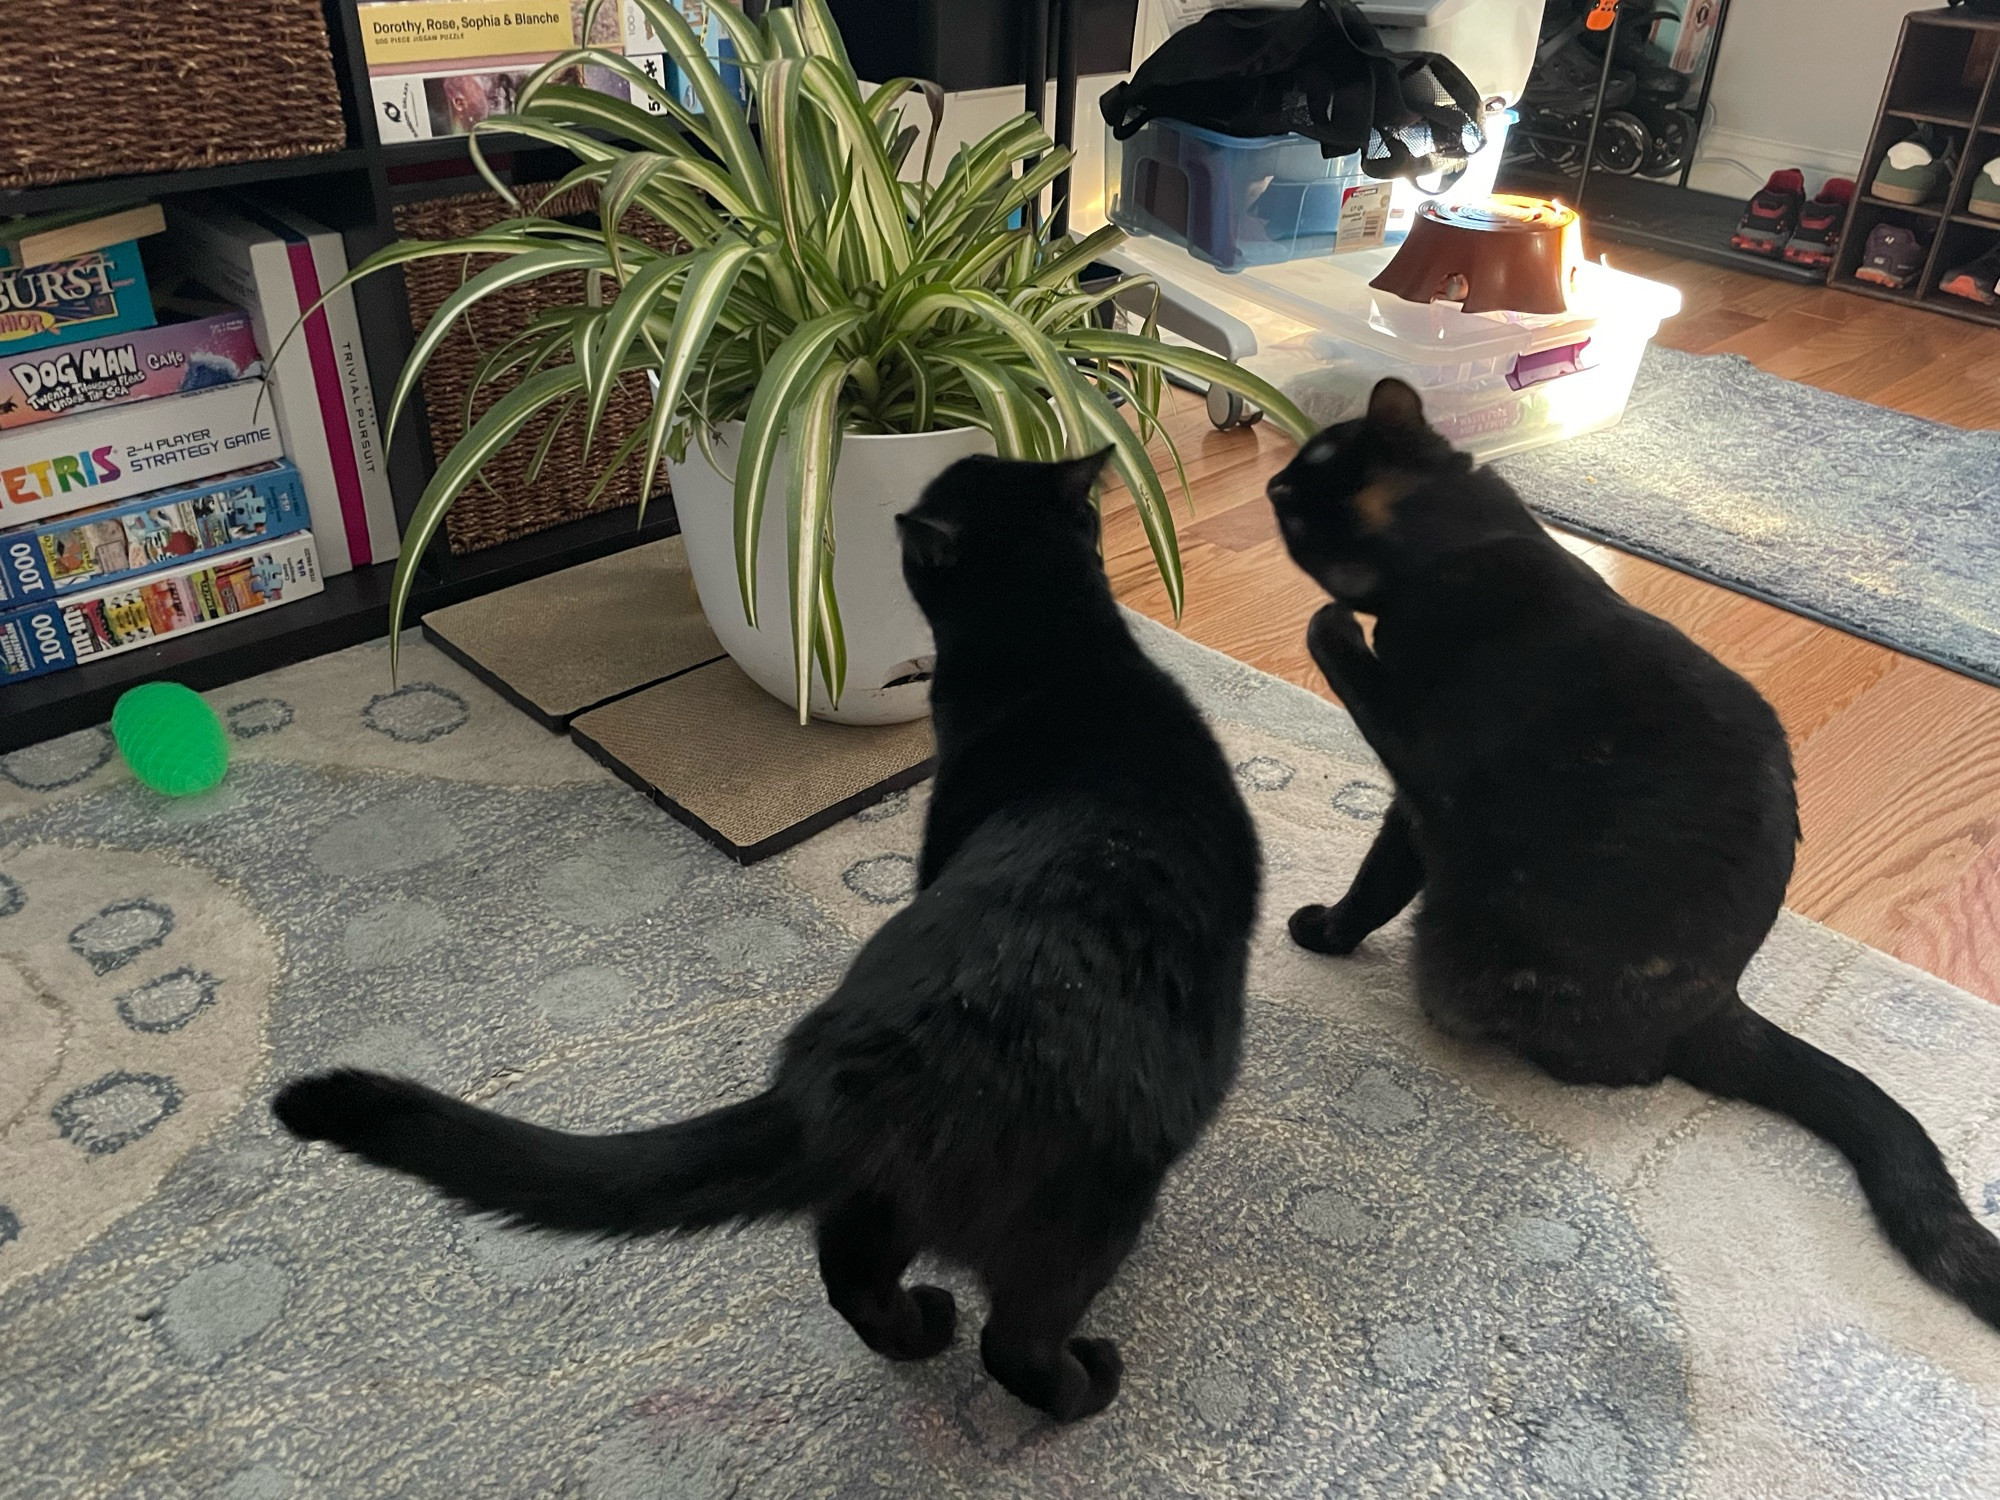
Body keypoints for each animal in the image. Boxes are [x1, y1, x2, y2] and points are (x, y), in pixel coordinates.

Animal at [274, 446, 1256, 1424]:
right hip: (1091, 1210)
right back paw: (1084, 1381)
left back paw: (921, 1326)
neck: (1058, 648)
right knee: (1012, 1339)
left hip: (881, 1198)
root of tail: (841, 1078)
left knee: (852, 1280)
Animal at [1264, 382, 2000, 1336]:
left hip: (1467, 948)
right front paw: (1331, 932)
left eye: (1297, 489)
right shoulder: (1417, 809)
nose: (1268, 482)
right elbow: (1378, 878)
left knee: (1625, 1070)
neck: (1476, 544)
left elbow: (1373, 837)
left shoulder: (1427, 775)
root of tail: (1720, 1007)